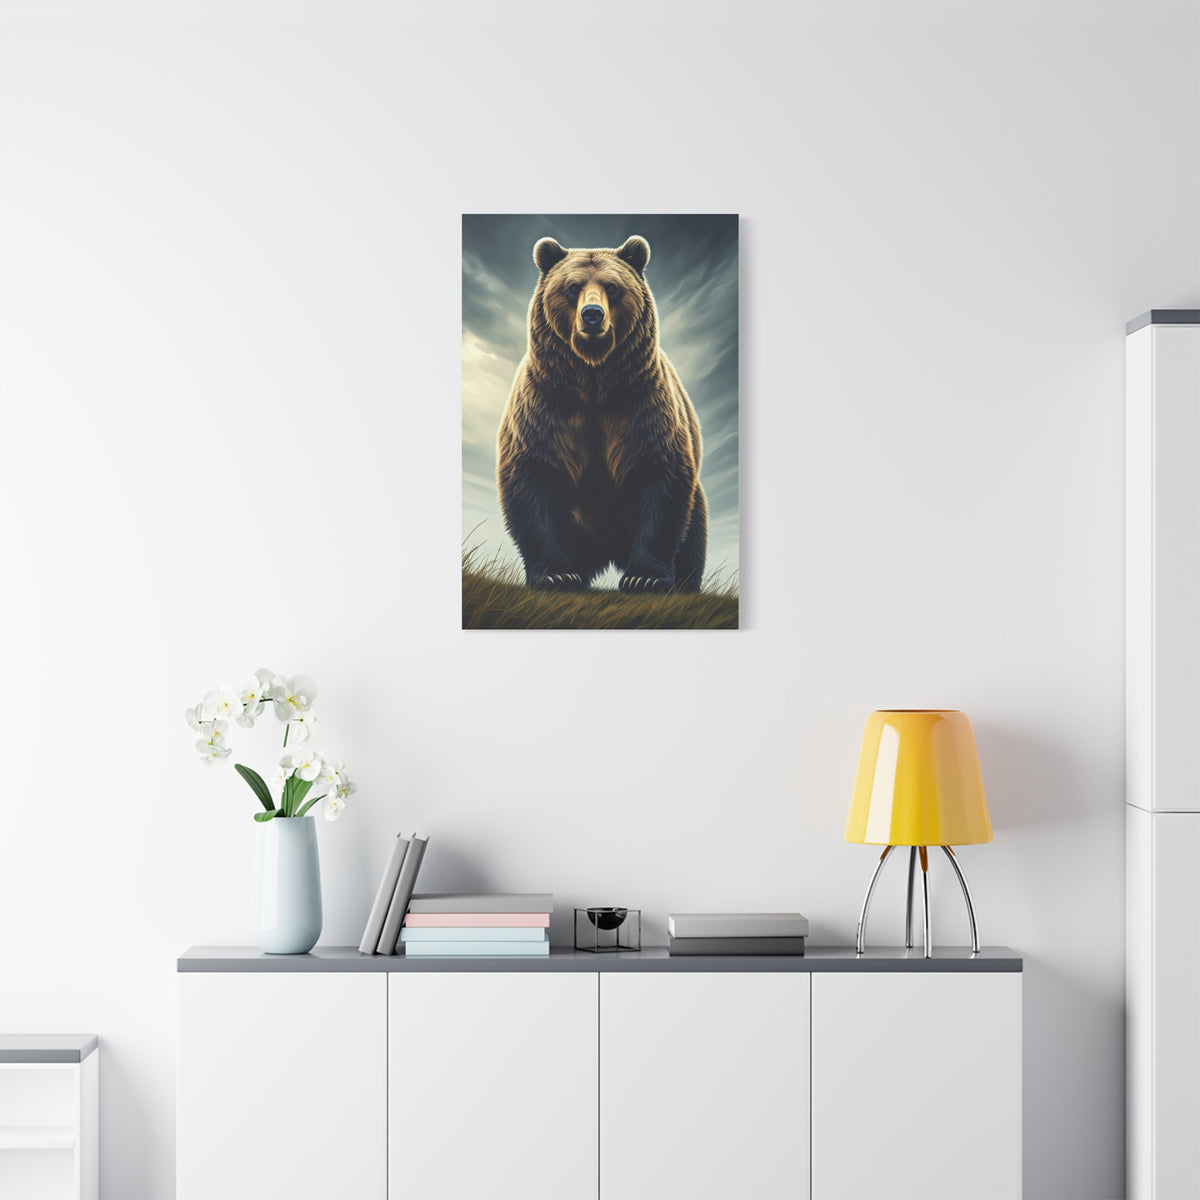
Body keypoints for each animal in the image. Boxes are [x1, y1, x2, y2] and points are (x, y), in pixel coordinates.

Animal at [496, 235, 708, 594]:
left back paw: (685, 582)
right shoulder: (545, 407)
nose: (592, 314)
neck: (593, 381)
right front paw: (556, 575)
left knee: (692, 532)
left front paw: (645, 577)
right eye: (572, 287)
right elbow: (532, 476)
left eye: (612, 286)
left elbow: (660, 477)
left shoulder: (644, 407)